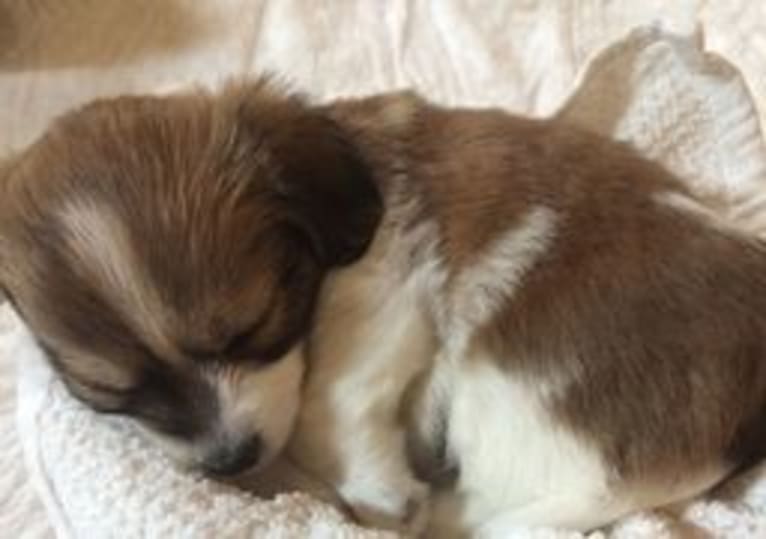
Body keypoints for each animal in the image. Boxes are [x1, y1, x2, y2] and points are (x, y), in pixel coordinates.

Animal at [0, 80, 764, 539]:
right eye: (109, 394)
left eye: (253, 326)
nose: (230, 459)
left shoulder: (382, 282)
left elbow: (322, 400)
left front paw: (375, 484)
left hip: (508, 384)